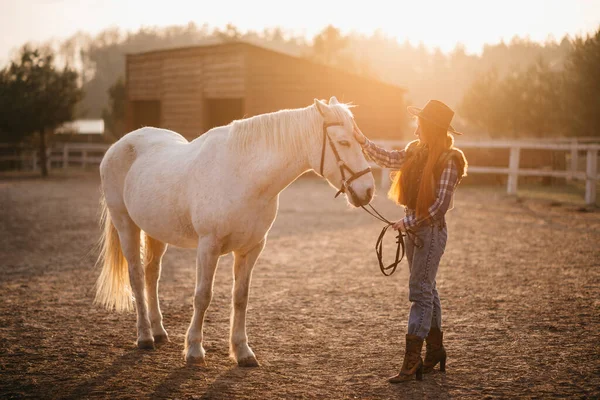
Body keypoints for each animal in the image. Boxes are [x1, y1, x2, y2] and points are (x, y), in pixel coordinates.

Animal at [94, 96, 376, 366]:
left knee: (152, 275)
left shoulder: (251, 248)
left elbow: (241, 297)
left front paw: (242, 351)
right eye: (343, 142)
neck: (243, 175)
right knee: (136, 277)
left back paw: (159, 331)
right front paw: (194, 349)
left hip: (156, 231)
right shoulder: (208, 247)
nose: (368, 190)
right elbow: (203, 296)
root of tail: (119, 145)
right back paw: (145, 337)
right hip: (126, 225)